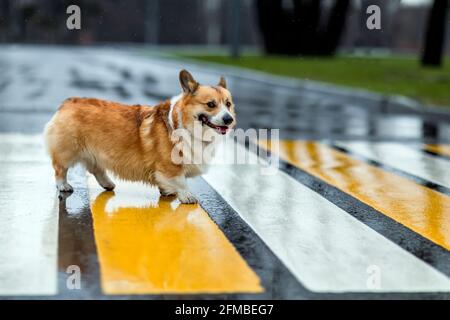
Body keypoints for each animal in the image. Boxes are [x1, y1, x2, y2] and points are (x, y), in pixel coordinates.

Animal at [44, 70, 237, 205]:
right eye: (211, 104)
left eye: (228, 104)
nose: (229, 119)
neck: (185, 126)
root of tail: (67, 102)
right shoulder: (170, 166)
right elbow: (181, 181)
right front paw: (187, 196)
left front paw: (167, 191)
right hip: (67, 151)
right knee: (60, 169)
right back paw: (63, 186)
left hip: (96, 152)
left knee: (96, 169)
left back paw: (108, 184)